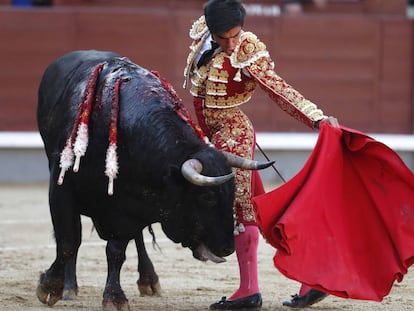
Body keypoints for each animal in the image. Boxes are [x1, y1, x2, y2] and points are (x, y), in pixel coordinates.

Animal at [35, 50, 272, 310]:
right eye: (207, 197)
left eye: (233, 191)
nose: (227, 247)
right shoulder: (62, 189)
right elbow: (68, 241)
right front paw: (51, 287)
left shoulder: (130, 207)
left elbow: (116, 250)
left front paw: (114, 297)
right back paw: (71, 287)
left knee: (136, 239)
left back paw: (149, 279)